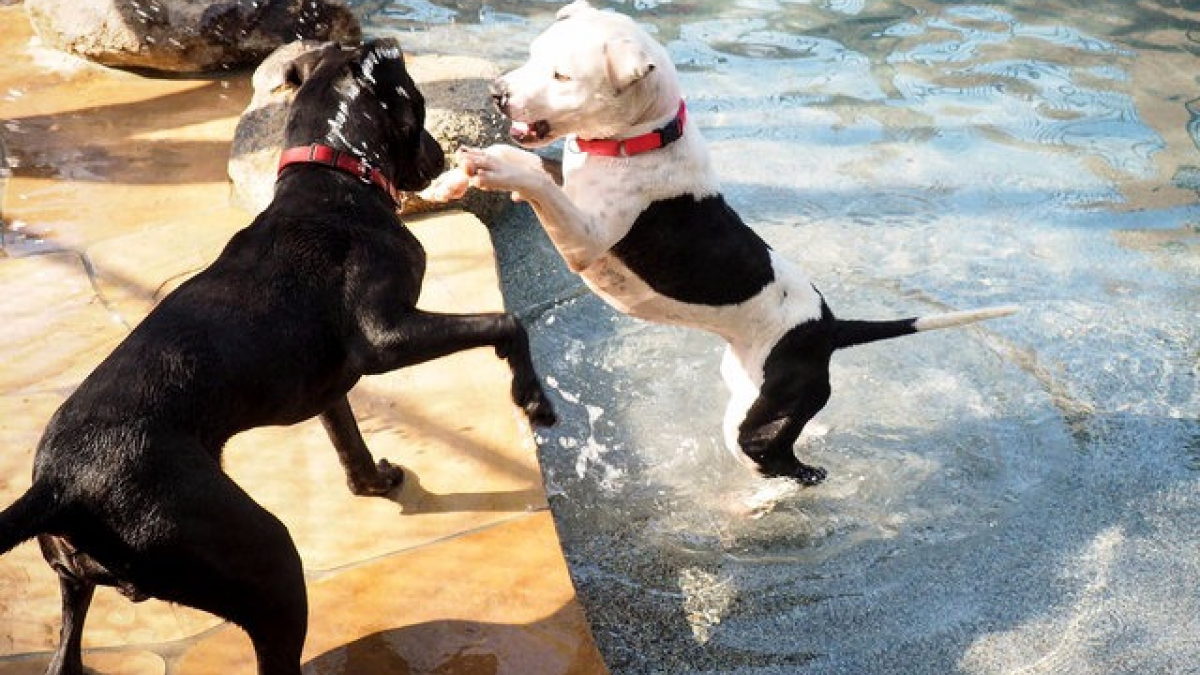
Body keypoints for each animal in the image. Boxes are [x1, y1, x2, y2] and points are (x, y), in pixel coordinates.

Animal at [0, 40, 552, 672]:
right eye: (416, 101)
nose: (440, 157)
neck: (332, 176)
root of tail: (58, 484)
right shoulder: (384, 336)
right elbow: (505, 323)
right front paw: (533, 398)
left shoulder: (332, 386)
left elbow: (349, 442)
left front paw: (376, 482)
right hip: (264, 560)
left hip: (78, 581)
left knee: (64, 653)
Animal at [422, 1, 1012, 482]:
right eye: (533, 53)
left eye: (562, 74)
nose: (497, 94)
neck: (640, 140)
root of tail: (827, 326)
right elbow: (531, 164)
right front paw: (450, 181)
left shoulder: (584, 238)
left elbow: (535, 178)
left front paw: (492, 167)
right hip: (744, 387)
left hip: (760, 417)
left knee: (793, 469)